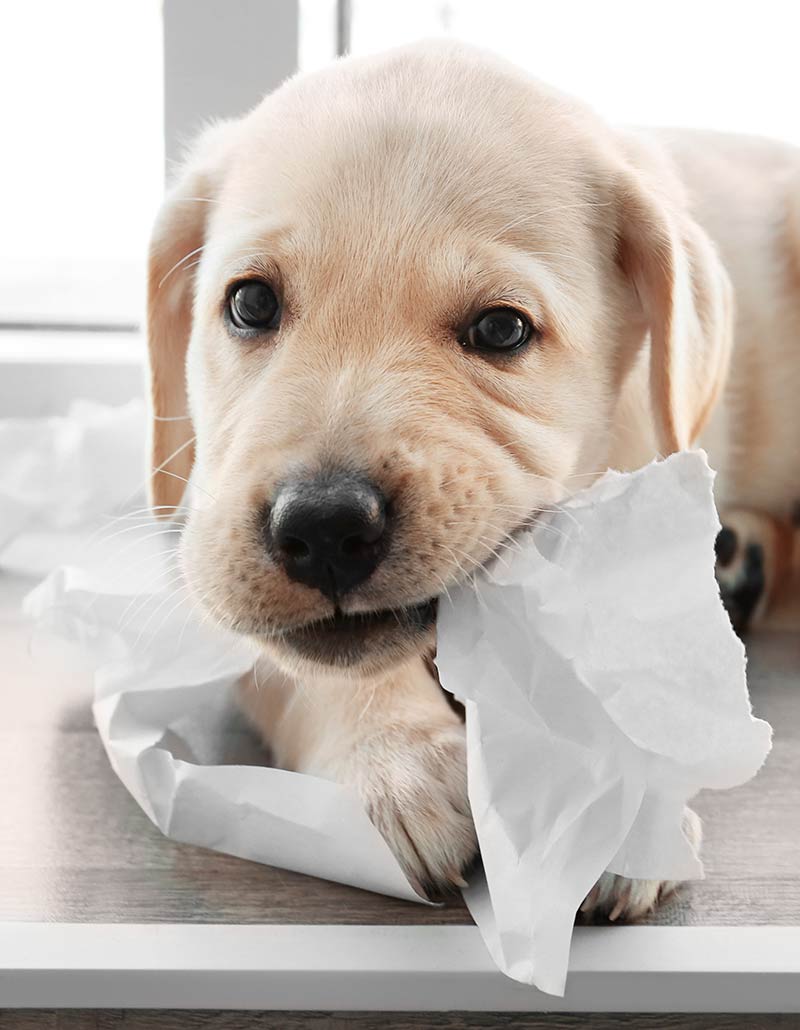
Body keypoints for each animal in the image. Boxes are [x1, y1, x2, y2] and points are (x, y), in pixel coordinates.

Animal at [145, 44, 798, 922]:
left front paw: (603, 791)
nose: (322, 528)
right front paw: (394, 755)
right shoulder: (203, 544)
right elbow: (295, 664)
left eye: (501, 328)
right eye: (249, 302)